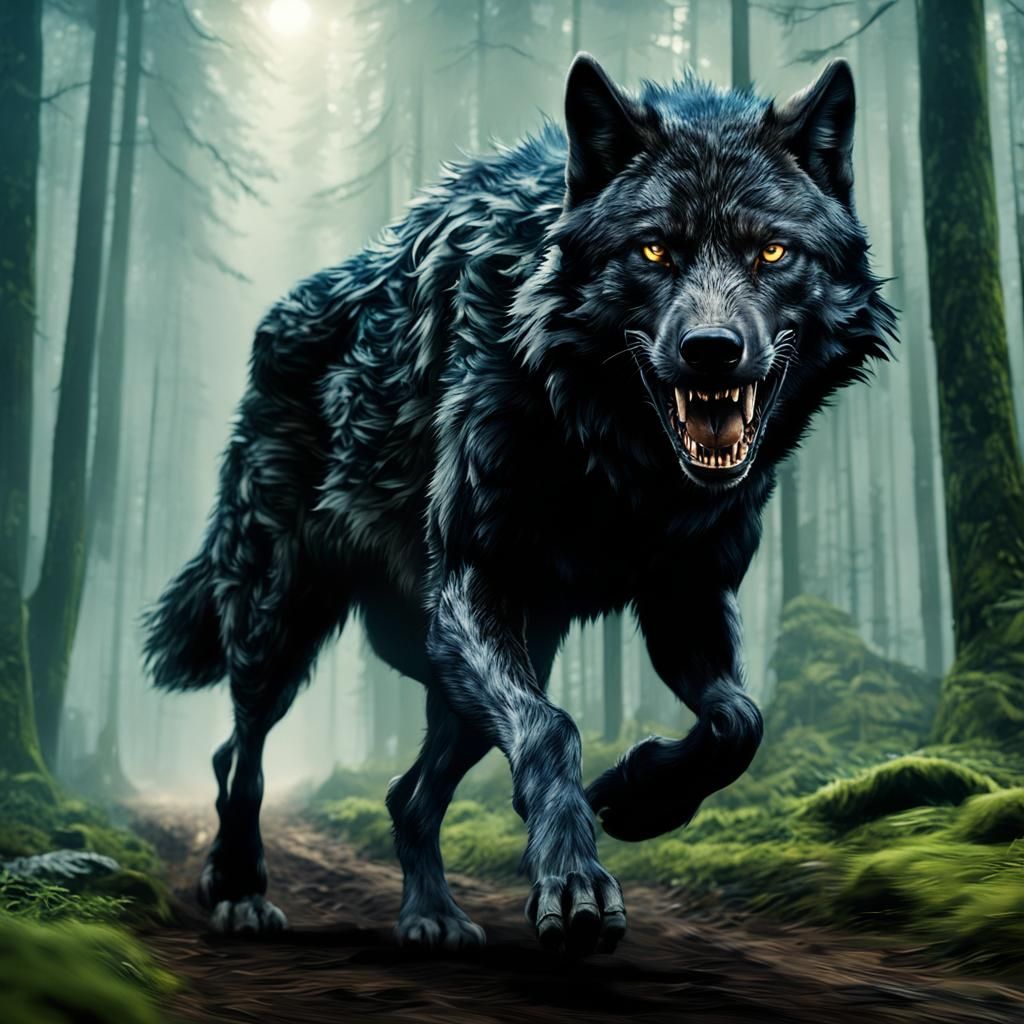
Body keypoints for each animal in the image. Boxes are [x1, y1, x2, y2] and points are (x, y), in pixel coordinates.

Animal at [144, 54, 893, 954]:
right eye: (654, 249)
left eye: (772, 251)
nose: (711, 351)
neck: (619, 467)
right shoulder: (474, 586)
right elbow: (553, 729)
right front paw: (575, 882)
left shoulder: (688, 598)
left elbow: (737, 723)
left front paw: (636, 794)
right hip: (283, 619)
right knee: (240, 752)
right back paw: (239, 889)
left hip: (479, 662)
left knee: (406, 795)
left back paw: (431, 915)